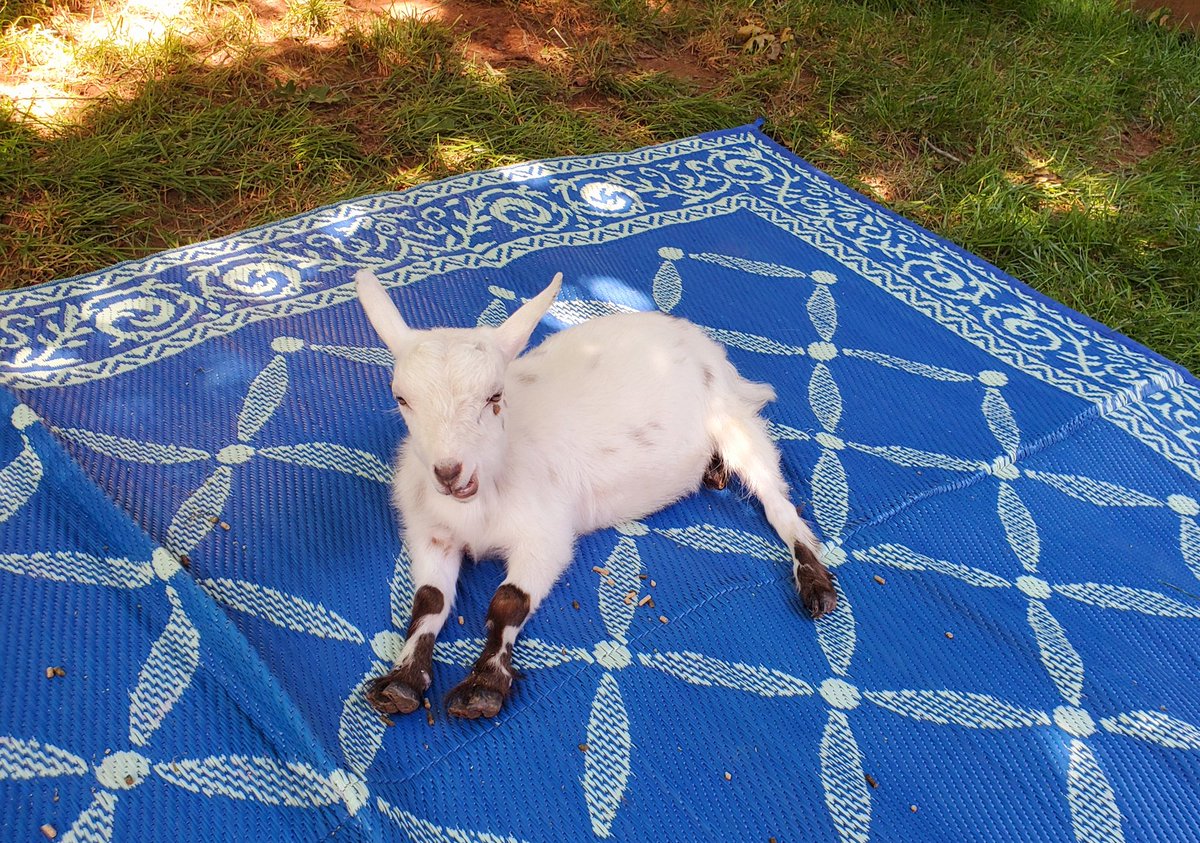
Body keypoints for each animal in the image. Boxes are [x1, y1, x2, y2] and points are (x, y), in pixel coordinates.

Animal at [355, 268, 836, 720]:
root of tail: (699, 340)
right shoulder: (431, 534)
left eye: (495, 396)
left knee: (777, 501)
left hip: (732, 420)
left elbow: (508, 601)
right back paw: (714, 473)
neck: (486, 492)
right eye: (401, 399)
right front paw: (401, 683)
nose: (450, 473)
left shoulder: (545, 535)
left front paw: (483, 688)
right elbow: (428, 601)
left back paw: (814, 582)